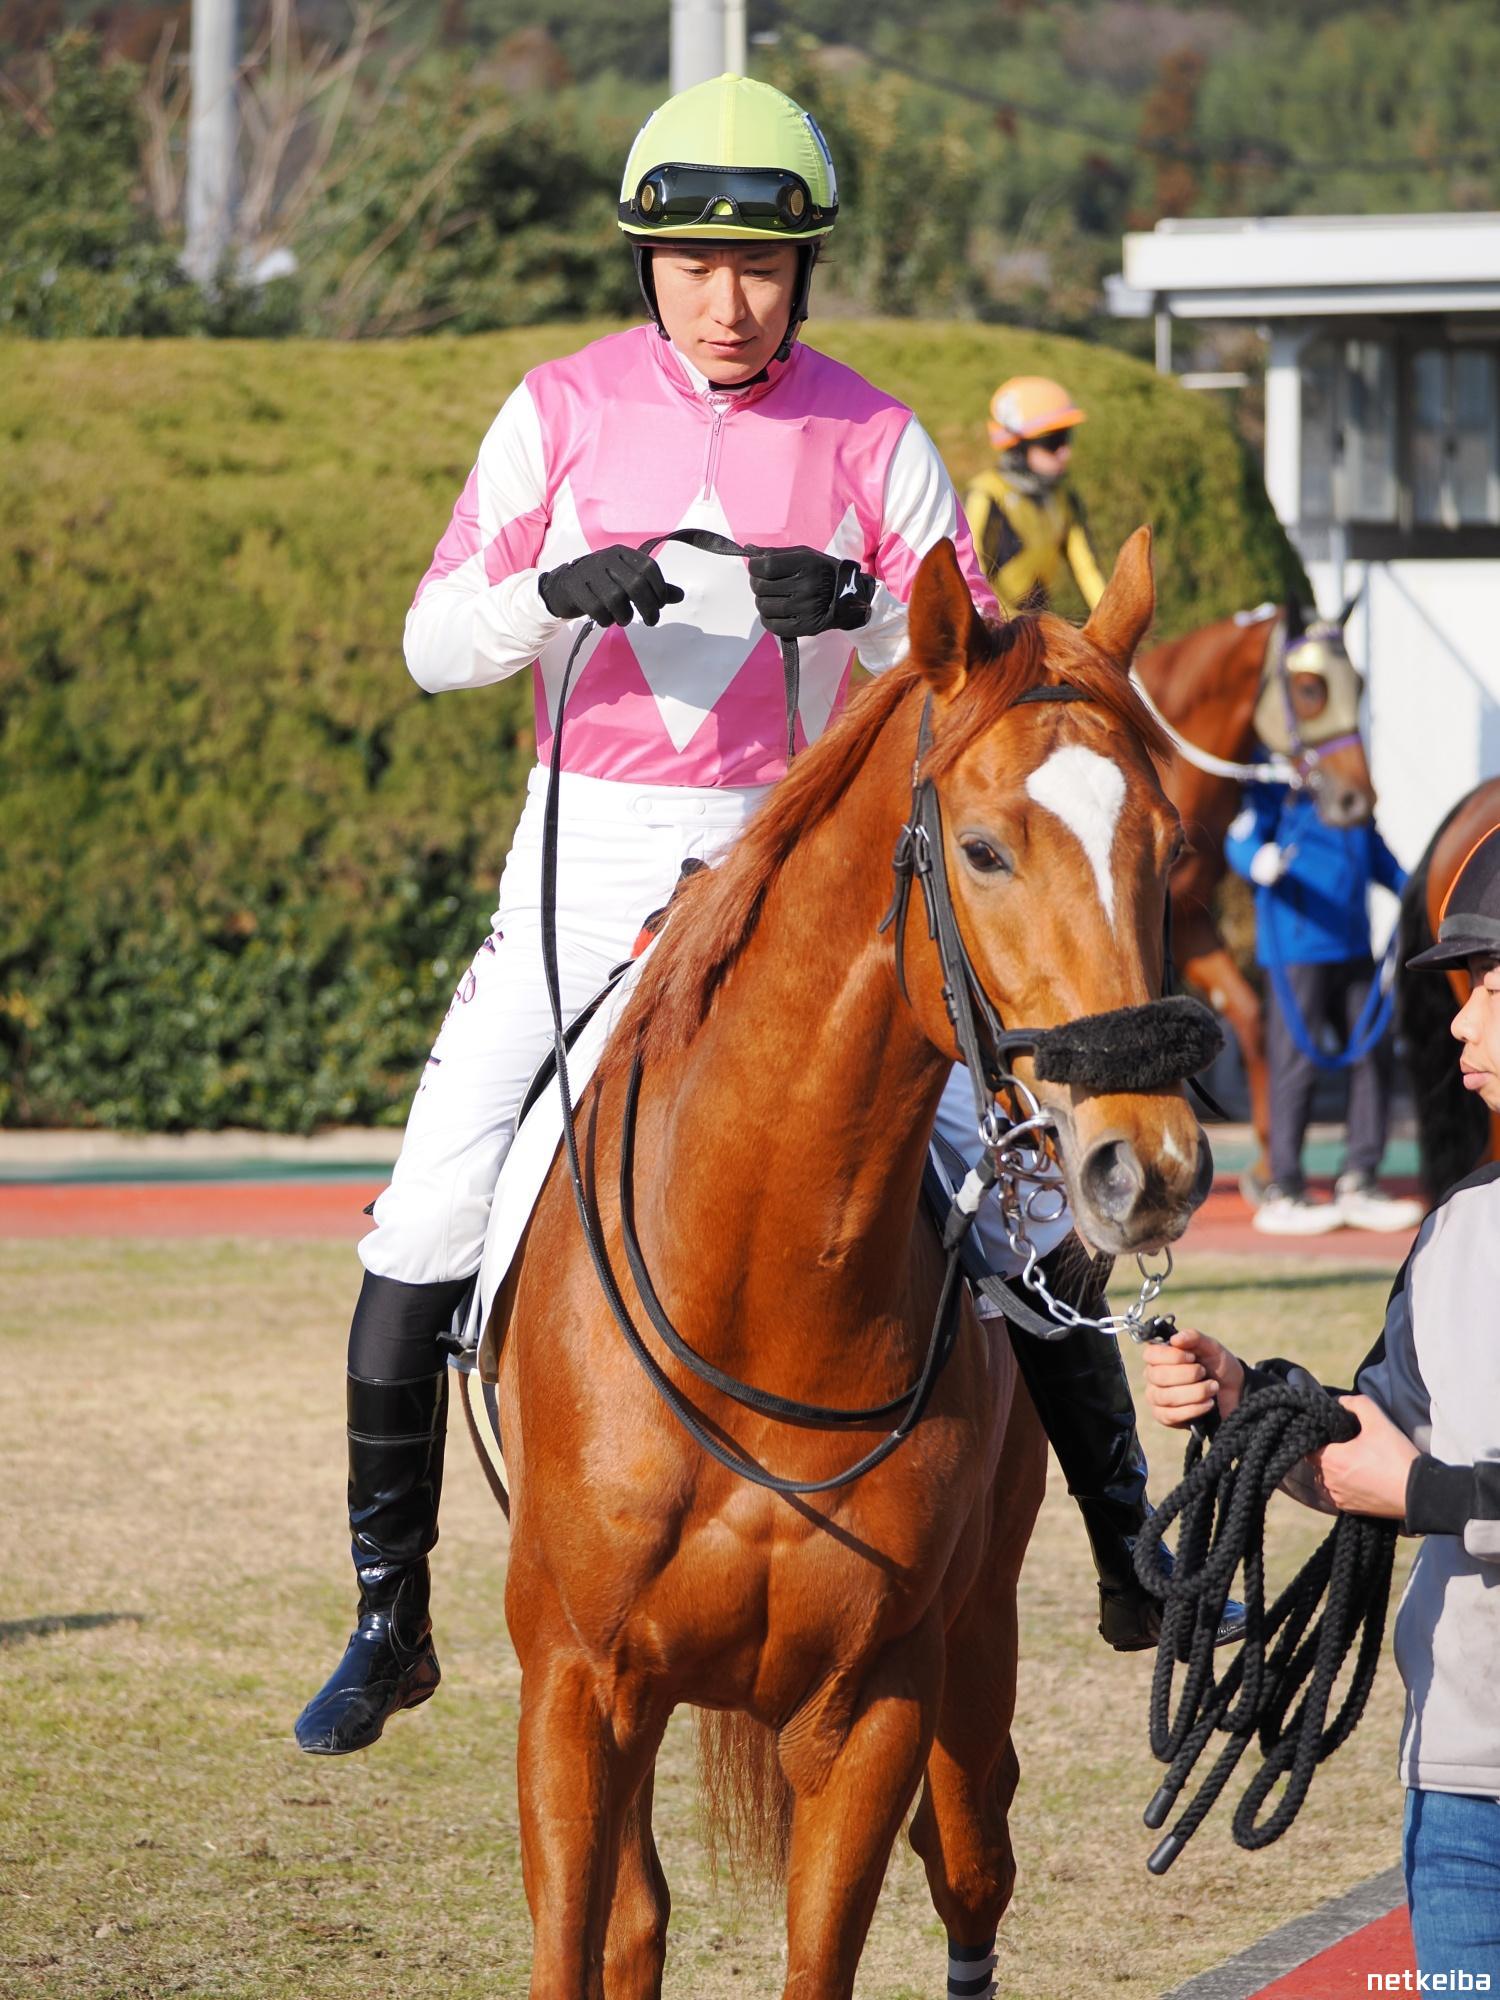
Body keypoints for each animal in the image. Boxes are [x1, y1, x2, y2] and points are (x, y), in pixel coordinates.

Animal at [491, 528, 1211, 1999]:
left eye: (1168, 847)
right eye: (983, 850)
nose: (1151, 1164)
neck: (756, 1293)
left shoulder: (870, 1705)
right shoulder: (577, 1693)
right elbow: (585, 1939)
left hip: (974, 1651)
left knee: (975, 1861)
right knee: (641, 1918)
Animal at [1133, 601, 1377, 1190]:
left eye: (1358, 684)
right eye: (1310, 688)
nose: (1358, 799)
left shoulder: (1190, 921)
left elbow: (1248, 1015)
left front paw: (1268, 1165)